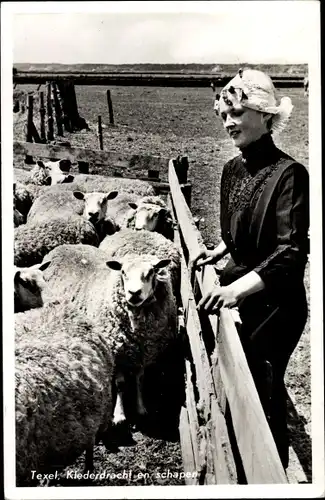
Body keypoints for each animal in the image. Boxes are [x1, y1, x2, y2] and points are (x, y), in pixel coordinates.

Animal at [40, 242, 177, 426]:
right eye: (123, 272)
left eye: (151, 272)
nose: (134, 293)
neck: (138, 332)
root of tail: (64, 246)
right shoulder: (116, 353)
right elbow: (120, 384)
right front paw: (119, 415)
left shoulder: (142, 353)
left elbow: (140, 379)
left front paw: (141, 408)